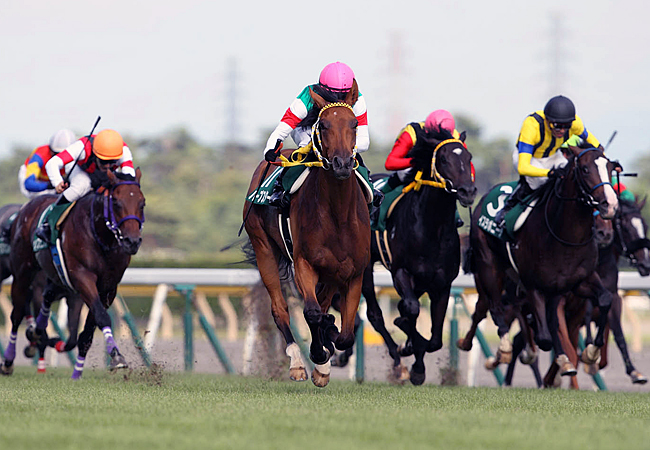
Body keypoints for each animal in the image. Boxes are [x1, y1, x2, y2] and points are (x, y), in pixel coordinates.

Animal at [6, 168, 144, 376]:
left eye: (142, 203)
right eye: (116, 202)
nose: (132, 241)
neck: (101, 237)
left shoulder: (107, 288)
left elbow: (86, 332)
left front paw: (80, 370)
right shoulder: (81, 277)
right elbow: (101, 316)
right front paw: (117, 356)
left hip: (57, 280)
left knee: (47, 297)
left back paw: (38, 333)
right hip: (23, 272)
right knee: (16, 315)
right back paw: (8, 361)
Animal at [243, 82, 368, 388]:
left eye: (354, 124)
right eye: (323, 125)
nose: (342, 164)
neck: (338, 215)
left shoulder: (352, 271)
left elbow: (345, 332)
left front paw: (328, 349)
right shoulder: (304, 262)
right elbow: (311, 313)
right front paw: (319, 357)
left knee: (322, 307)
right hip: (264, 248)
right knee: (280, 308)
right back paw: (298, 362)